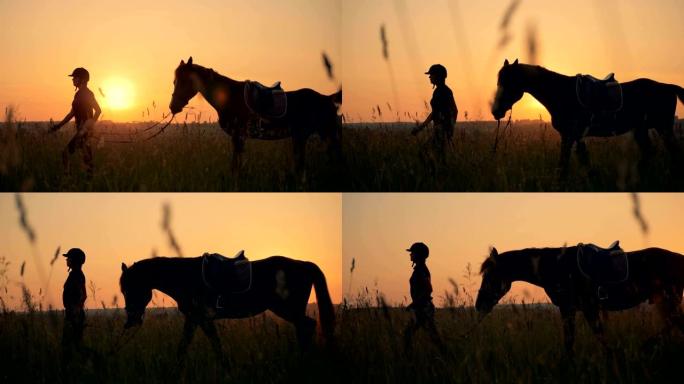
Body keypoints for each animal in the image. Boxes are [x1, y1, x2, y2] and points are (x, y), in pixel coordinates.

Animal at [121, 254, 338, 368]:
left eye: (130, 287)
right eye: (124, 290)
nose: (131, 319)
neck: (186, 277)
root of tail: (305, 264)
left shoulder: (197, 318)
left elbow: (189, 344)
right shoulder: (198, 319)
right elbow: (209, 342)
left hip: (287, 309)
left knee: (306, 326)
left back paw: (303, 359)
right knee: (306, 327)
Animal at [169, 56, 344, 182]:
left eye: (186, 80)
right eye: (174, 81)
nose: (173, 107)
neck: (230, 96)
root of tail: (327, 98)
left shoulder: (238, 136)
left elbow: (235, 166)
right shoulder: (239, 138)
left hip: (317, 134)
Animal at [472, 244, 684, 356]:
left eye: (490, 276)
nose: (479, 305)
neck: (559, 267)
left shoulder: (584, 308)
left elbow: (595, 336)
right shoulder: (570, 310)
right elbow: (572, 340)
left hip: (670, 299)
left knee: (675, 322)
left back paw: (648, 345)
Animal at [488, 59, 680, 178]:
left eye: (509, 82)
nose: (496, 111)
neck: (562, 92)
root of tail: (669, 87)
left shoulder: (572, 135)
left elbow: (570, 164)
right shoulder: (571, 136)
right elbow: (571, 164)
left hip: (663, 128)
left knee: (672, 152)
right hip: (641, 130)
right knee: (650, 152)